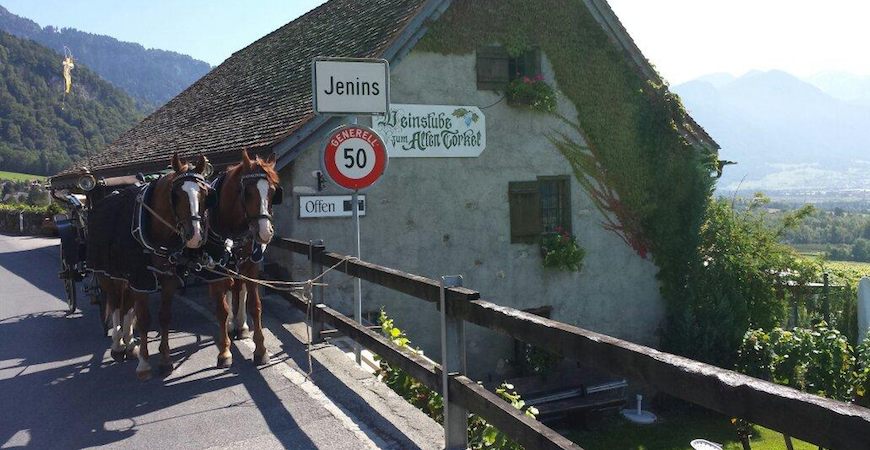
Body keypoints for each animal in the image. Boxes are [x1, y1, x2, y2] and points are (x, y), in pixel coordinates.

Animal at [90, 155, 215, 380]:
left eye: (204, 193)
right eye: (176, 195)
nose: (195, 236)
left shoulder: (166, 279)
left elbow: (164, 317)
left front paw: (165, 361)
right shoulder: (142, 279)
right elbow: (144, 320)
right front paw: (144, 364)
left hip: (126, 276)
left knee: (126, 304)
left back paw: (130, 345)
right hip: (106, 273)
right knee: (114, 303)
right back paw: (117, 345)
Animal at [208, 149, 282, 368]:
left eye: (273, 192)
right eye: (247, 192)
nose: (265, 233)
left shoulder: (251, 265)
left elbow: (254, 306)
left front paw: (261, 350)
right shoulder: (216, 270)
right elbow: (222, 310)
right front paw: (224, 352)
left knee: (238, 290)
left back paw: (240, 326)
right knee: (228, 292)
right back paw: (232, 325)